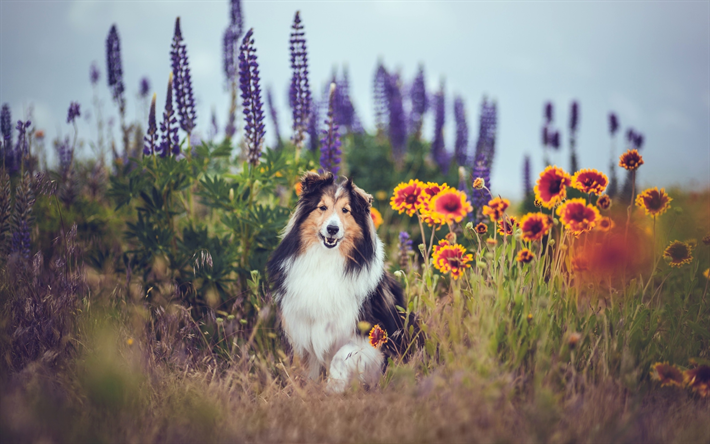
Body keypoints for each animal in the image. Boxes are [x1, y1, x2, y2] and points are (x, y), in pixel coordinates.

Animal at [270, 172, 418, 390]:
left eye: (345, 210)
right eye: (322, 207)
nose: (332, 229)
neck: (326, 259)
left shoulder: (368, 332)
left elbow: (341, 356)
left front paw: (334, 387)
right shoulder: (304, 327)